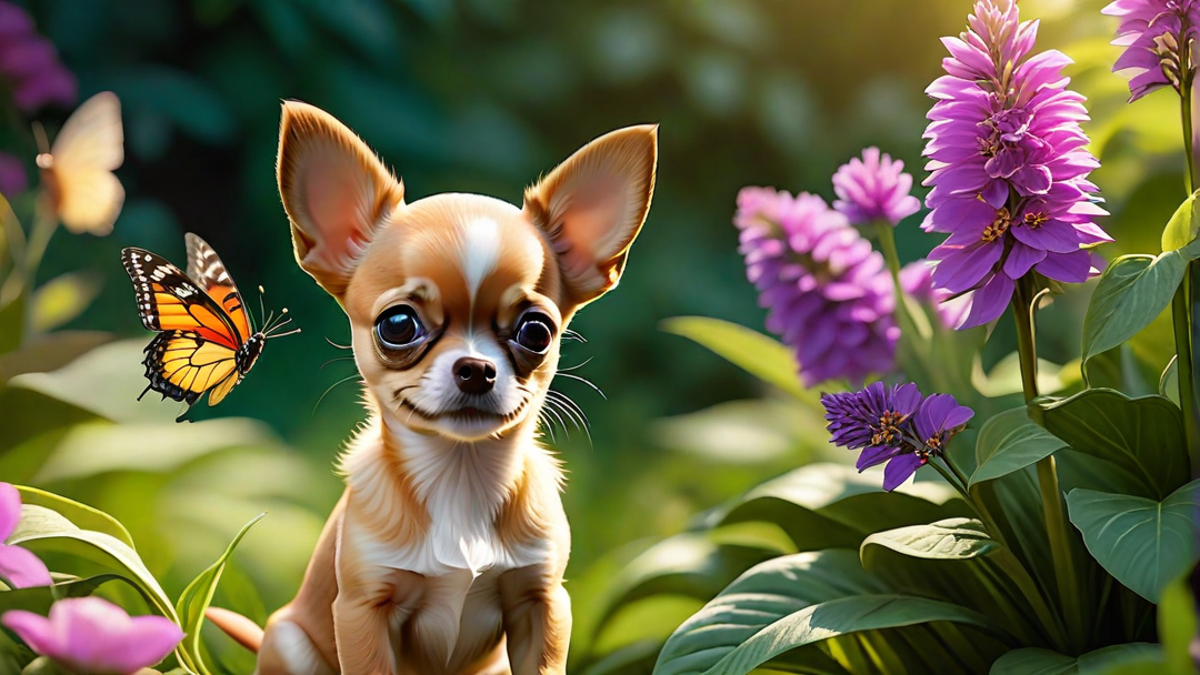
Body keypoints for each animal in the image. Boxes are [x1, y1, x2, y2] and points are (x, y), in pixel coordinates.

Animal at [206, 100, 657, 672]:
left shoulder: (542, 602)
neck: (459, 476)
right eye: (398, 325)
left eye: (537, 331)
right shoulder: (362, 610)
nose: (476, 368)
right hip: (290, 641)